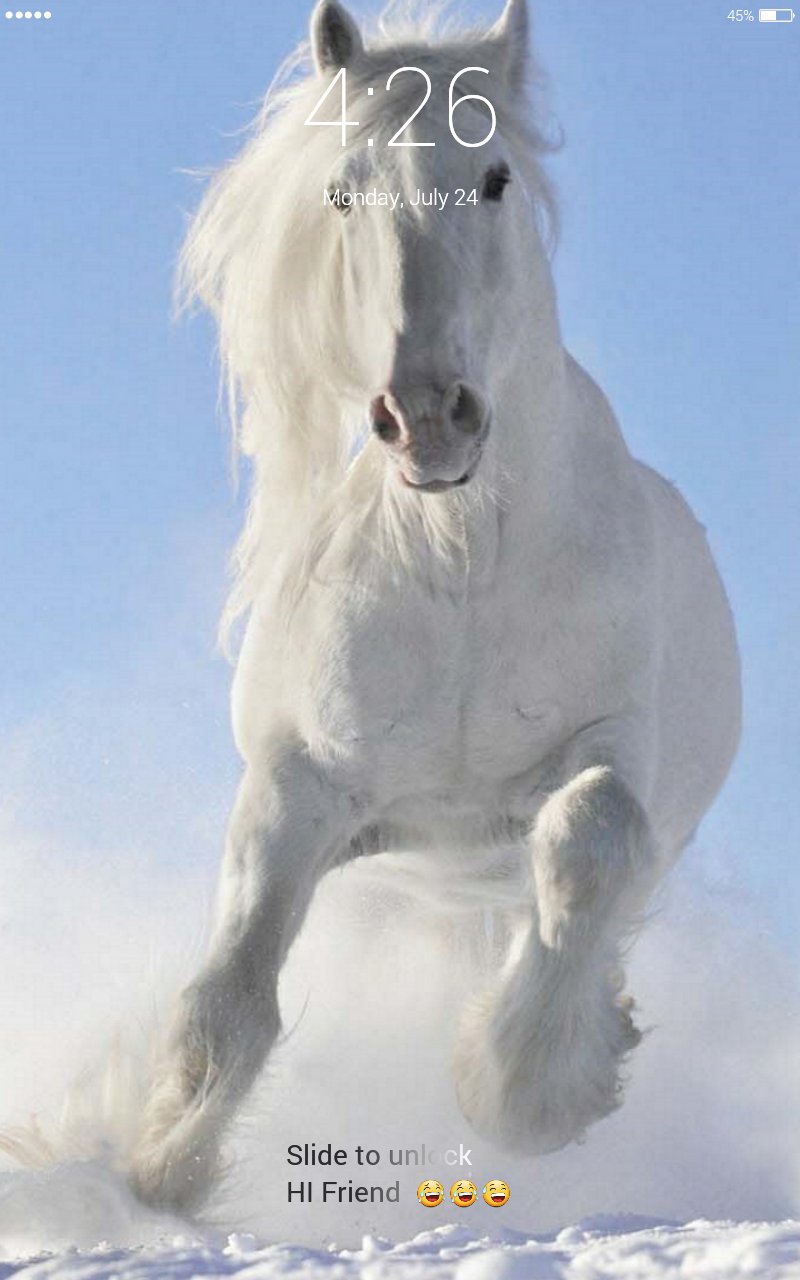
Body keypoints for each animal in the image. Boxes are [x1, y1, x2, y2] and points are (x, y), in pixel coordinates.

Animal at [129, 0, 741, 1214]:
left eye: (495, 176)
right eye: (342, 189)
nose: (425, 416)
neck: (459, 565)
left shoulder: (615, 751)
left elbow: (591, 837)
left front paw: (525, 1090)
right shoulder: (299, 786)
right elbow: (229, 998)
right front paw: (153, 1168)